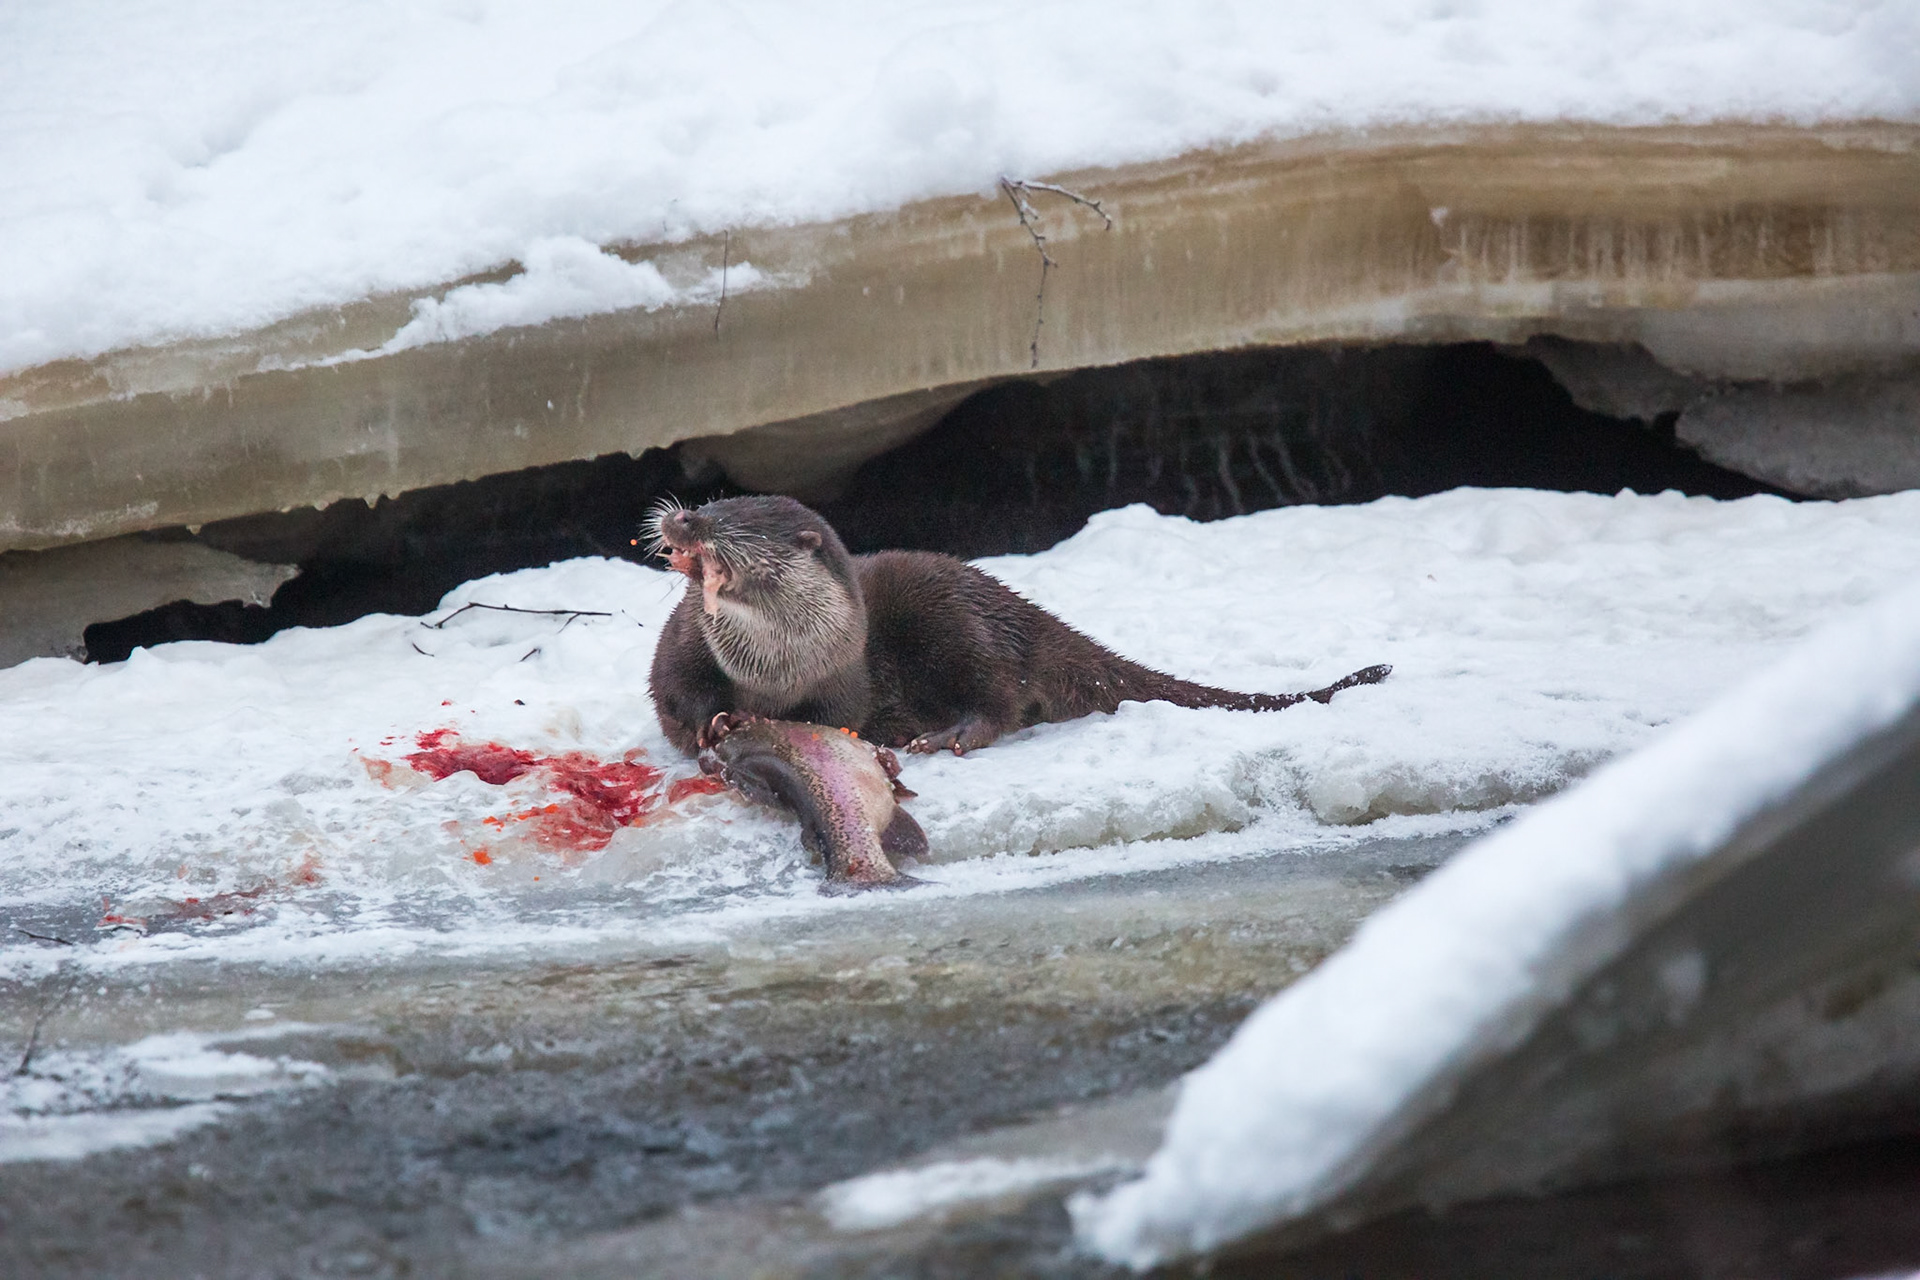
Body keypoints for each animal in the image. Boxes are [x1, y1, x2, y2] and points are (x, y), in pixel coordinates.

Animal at [645, 495, 1389, 757]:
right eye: (705, 502)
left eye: (723, 522)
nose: (678, 521)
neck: (772, 666)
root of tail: (1027, 613)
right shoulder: (685, 642)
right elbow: (677, 689)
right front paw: (711, 723)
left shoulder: (844, 675)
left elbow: (831, 721)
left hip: (946, 618)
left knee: (999, 696)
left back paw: (947, 735)